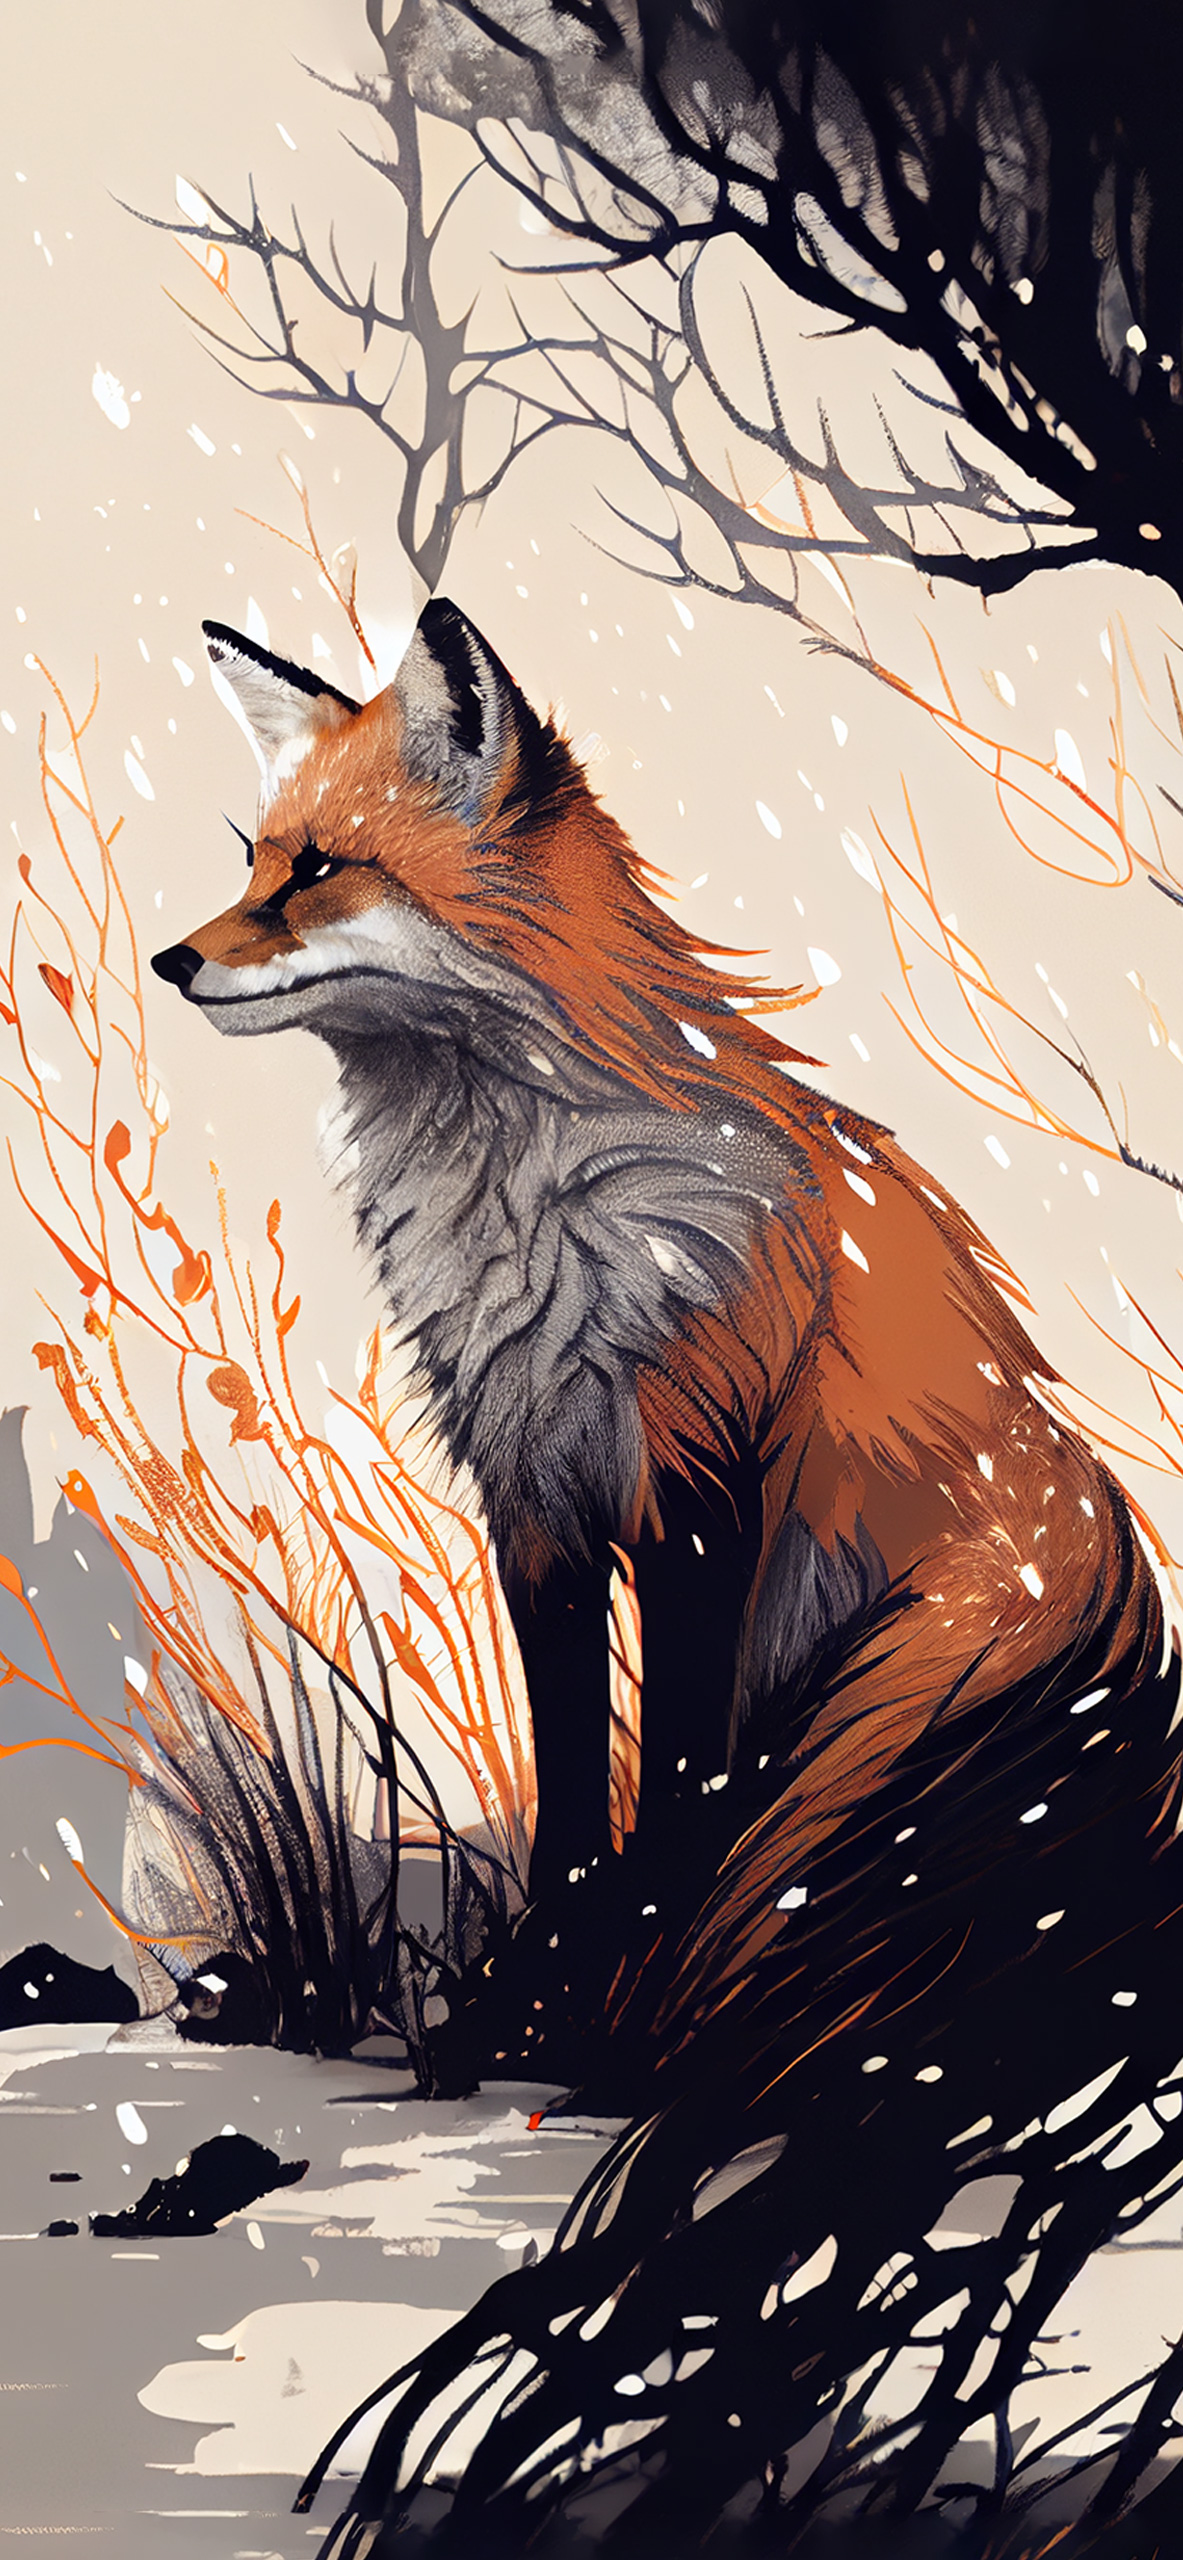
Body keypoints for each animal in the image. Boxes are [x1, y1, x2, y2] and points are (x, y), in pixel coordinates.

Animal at [153, 598, 1167, 2079]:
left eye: (322, 871)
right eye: (255, 865)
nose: (171, 959)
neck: (529, 1202)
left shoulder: (699, 1479)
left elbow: (680, 1784)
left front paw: (592, 2010)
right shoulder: (535, 1495)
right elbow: (576, 1796)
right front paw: (515, 2007)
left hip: (882, 1680)